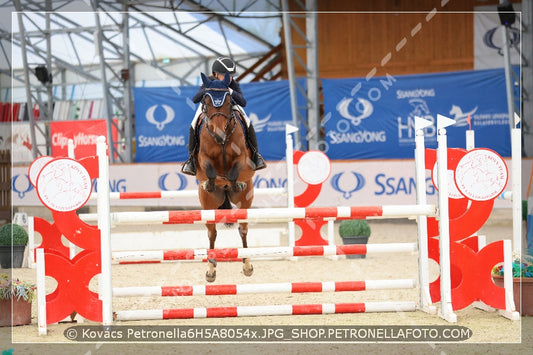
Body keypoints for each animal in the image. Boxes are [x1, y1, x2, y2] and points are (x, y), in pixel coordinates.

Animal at [194, 73, 255, 284]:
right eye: (205, 101)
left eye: (229, 102)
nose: (219, 135)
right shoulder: (203, 157)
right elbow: (209, 169)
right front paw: (211, 182)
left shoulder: (242, 157)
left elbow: (235, 170)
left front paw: (235, 181)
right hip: (208, 205)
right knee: (212, 232)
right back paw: (211, 269)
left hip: (245, 202)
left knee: (243, 229)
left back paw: (247, 264)